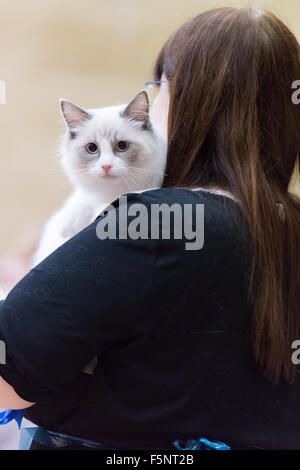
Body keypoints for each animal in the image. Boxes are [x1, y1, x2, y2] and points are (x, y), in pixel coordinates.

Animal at [34, 90, 169, 266]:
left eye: (122, 146)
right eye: (92, 148)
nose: (106, 166)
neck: (111, 191)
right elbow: (80, 202)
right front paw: (68, 226)